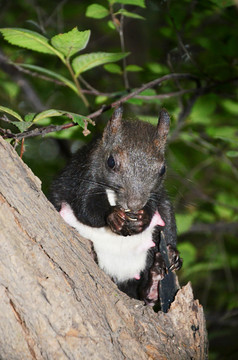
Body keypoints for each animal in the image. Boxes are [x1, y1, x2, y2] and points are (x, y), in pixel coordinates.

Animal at [49, 105, 181, 310]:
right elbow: (86, 208)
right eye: (111, 162)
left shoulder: (156, 194)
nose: (134, 204)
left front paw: (142, 219)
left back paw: (158, 276)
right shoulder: (82, 176)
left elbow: (153, 207)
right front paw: (113, 217)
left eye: (163, 169)